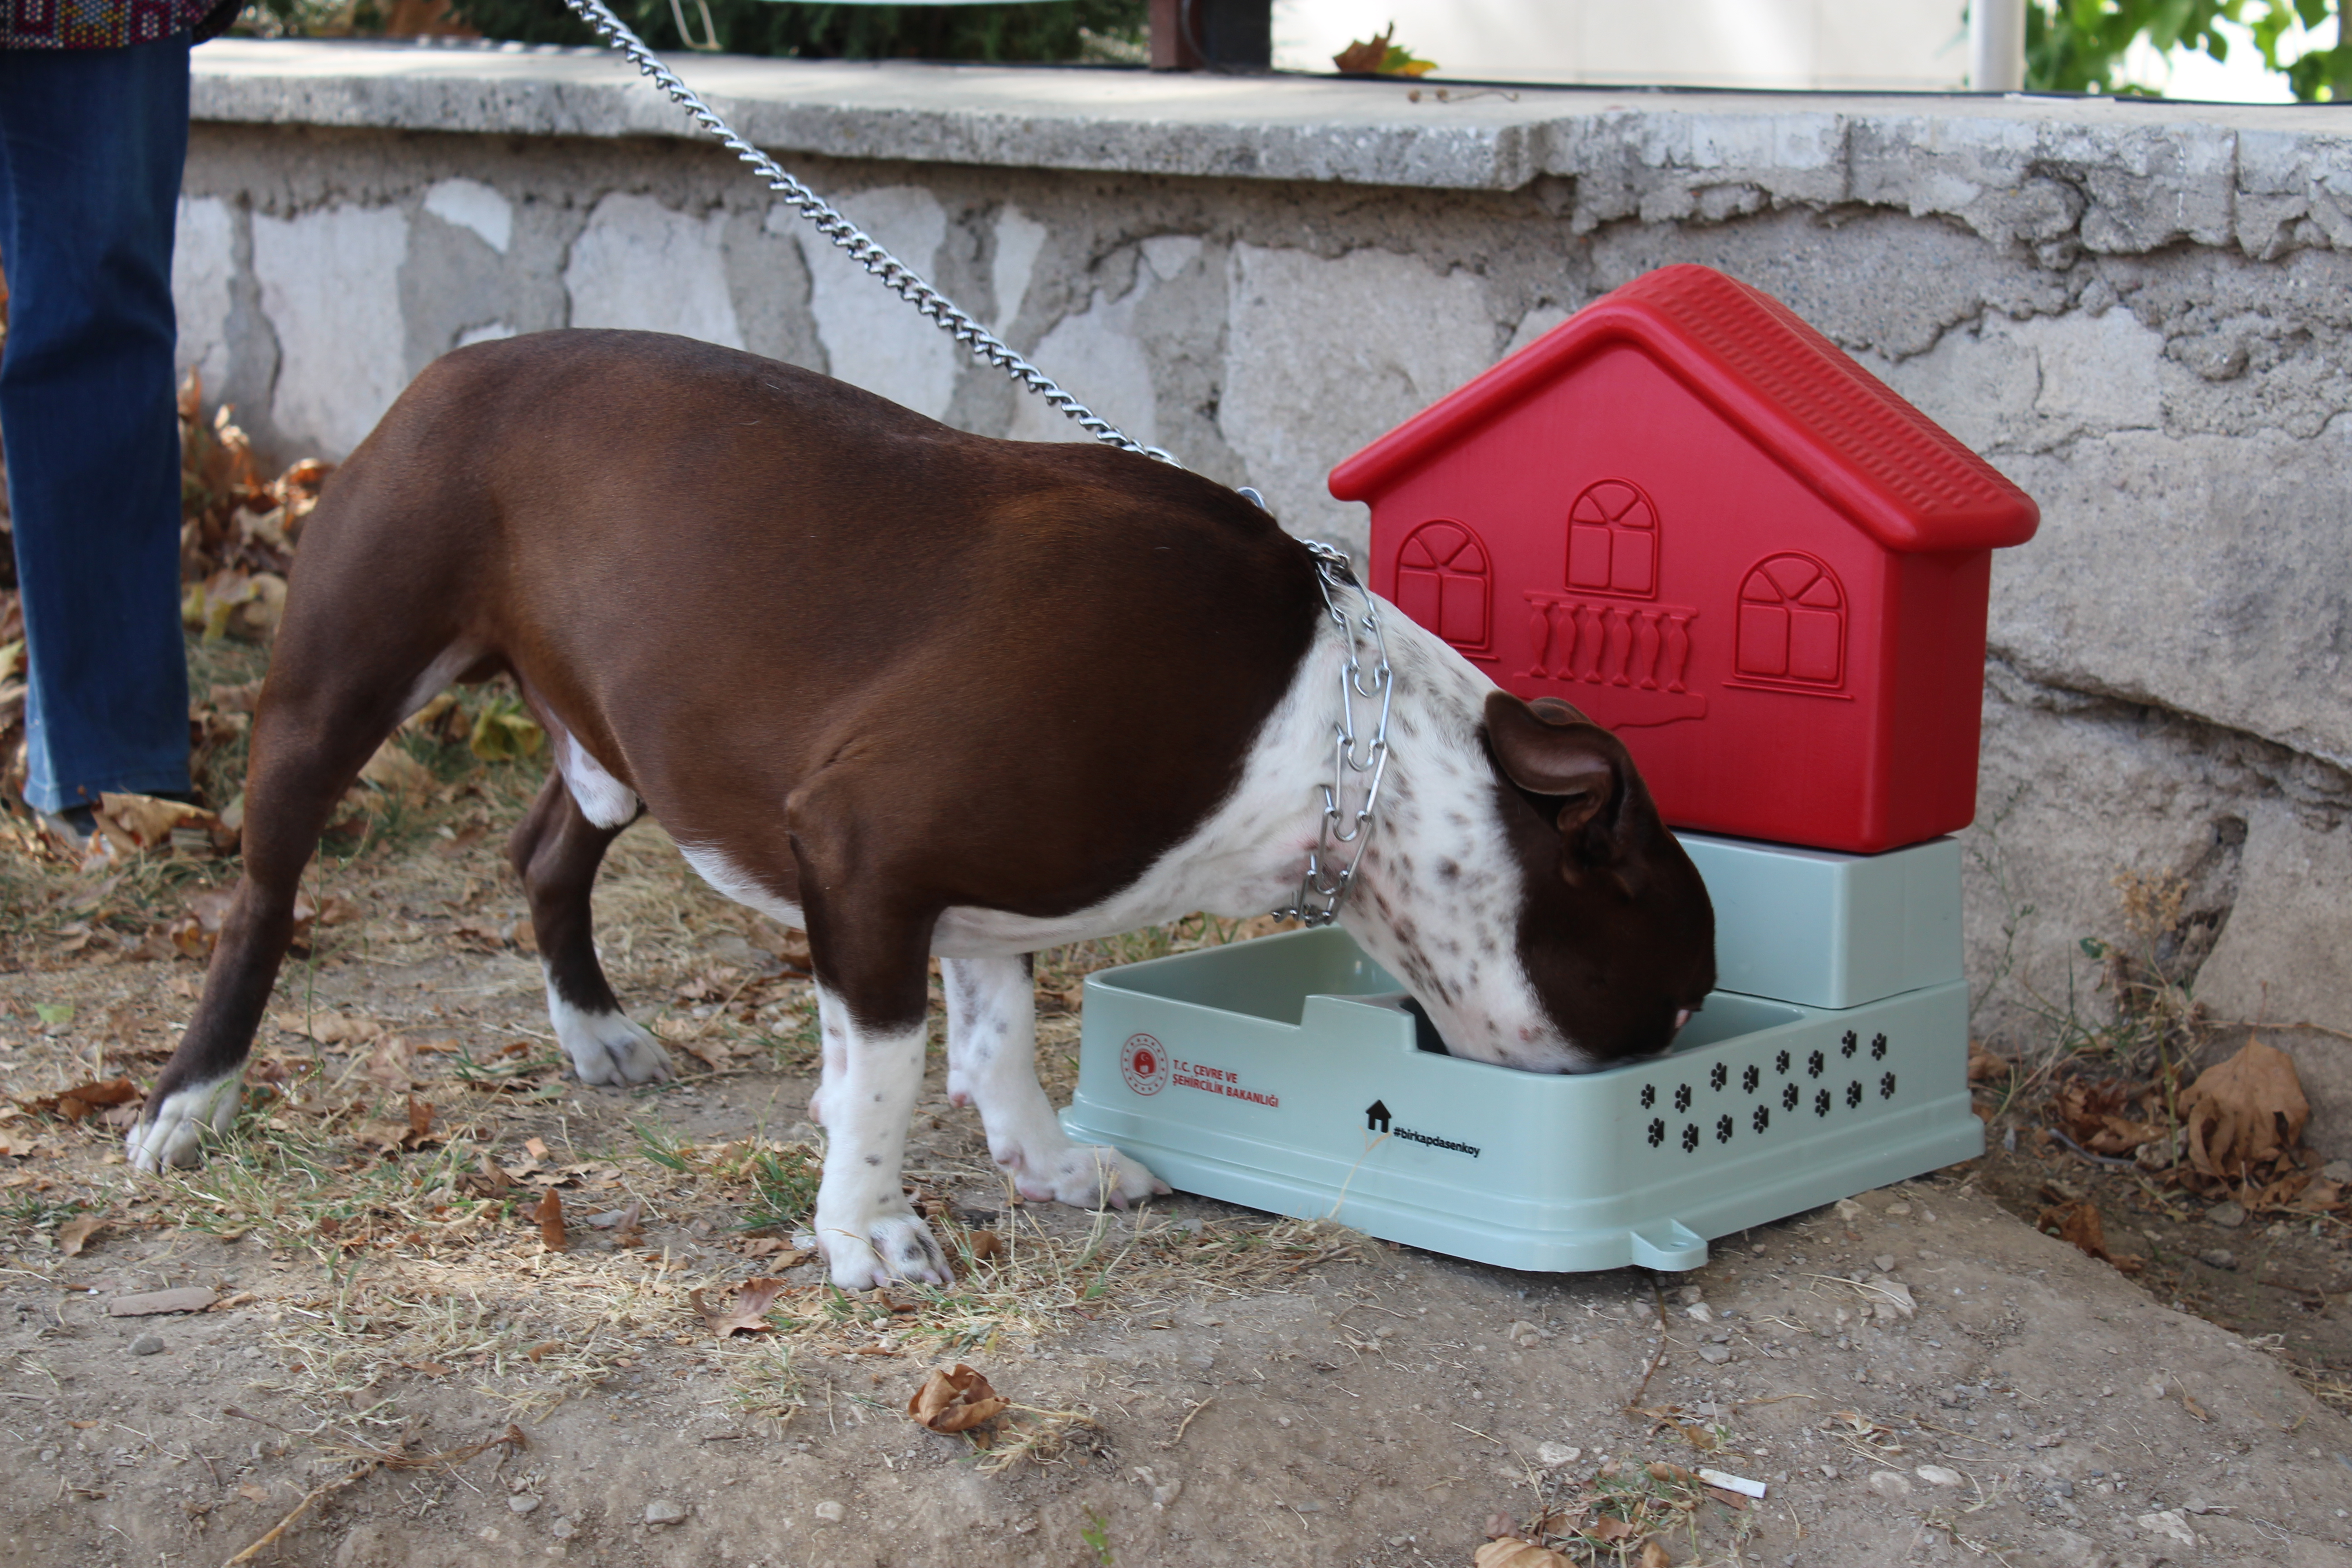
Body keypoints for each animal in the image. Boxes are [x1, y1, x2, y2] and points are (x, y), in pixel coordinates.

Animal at [128, 329, 1721, 1288]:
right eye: (1683, 992)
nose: (1674, 1067)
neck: (1339, 741)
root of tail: (449, 369)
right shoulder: (870, 851)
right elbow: (893, 1063)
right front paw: (870, 1229)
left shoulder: (977, 891)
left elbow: (997, 1032)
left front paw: (1045, 1162)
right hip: (339, 681)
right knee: (262, 896)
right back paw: (191, 1101)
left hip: (616, 743)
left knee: (544, 852)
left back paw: (598, 1031)